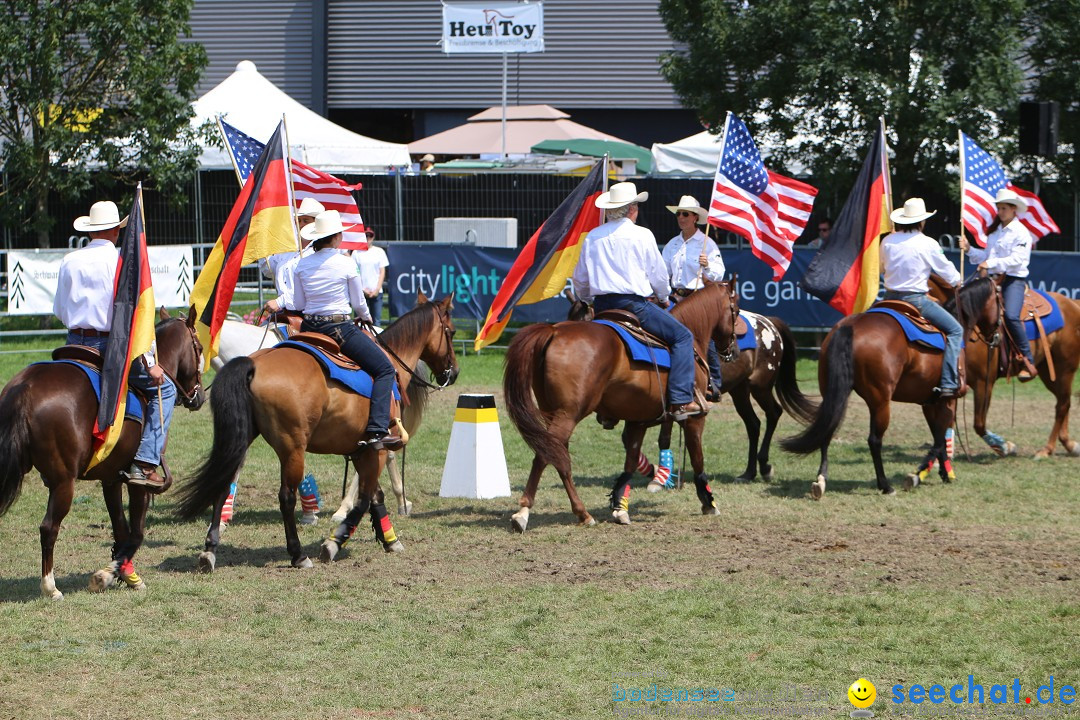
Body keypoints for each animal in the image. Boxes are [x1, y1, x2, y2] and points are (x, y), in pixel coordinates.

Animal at [0, 313, 206, 600]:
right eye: (199, 347)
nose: (199, 397)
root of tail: (26, 386)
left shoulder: (111, 478)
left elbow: (120, 528)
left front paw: (126, 575)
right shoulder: (138, 481)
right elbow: (137, 532)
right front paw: (106, 575)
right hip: (63, 483)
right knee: (49, 528)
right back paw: (50, 587)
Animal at [501, 280, 738, 535]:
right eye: (735, 310)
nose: (732, 351)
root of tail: (554, 331)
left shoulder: (637, 420)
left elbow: (631, 462)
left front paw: (619, 504)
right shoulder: (694, 419)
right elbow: (697, 459)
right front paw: (708, 502)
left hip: (551, 414)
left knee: (557, 456)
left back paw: (582, 513)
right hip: (567, 415)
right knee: (546, 456)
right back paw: (525, 513)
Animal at [781, 278, 997, 500]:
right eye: (1000, 301)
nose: (995, 336)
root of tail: (850, 326)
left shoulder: (929, 402)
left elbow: (938, 437)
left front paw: (945, 473)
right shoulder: (948, 400)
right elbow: (939, 440)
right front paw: (917, 476)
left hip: (833, 394)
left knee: (827, 429)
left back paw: (821, 481)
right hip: (880, 402)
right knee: (874, 440)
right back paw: (885, 485)